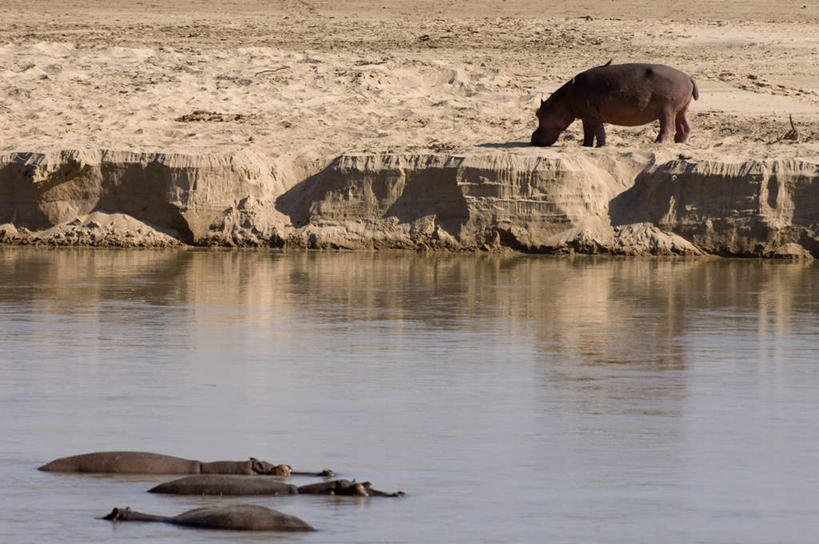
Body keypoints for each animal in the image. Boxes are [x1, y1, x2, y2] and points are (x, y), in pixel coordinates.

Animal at [532, 62, 700, 147]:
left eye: (538, 113)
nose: (533, 138)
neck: (563, 100)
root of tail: (689, 77)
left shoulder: (592, 116)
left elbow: (599, 131)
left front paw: (600, 146)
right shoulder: (586, 117)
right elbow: (588, 133)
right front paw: (585, 146)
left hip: (667, 110)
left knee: (668, 128)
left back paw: (657, 143)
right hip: (680, 109)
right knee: (684, 126)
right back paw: (679, 143)